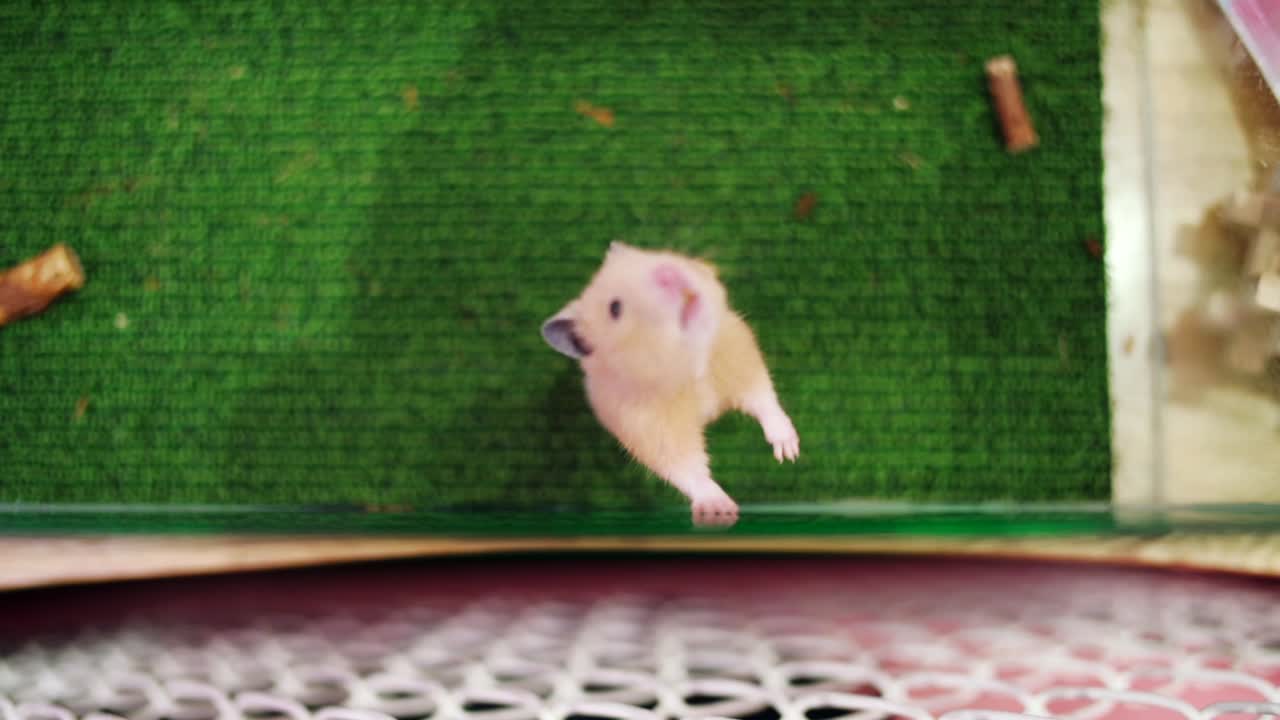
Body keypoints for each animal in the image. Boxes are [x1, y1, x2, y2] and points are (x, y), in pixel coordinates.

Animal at [541, 241, 800, 527]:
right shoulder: (651, 429)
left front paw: (788, 453)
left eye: (651, 257)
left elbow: (763, 399)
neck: (688, 369)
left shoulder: (738, 356)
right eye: (615, 308)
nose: (668, 273)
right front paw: (721, 509)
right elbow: (686, 468)